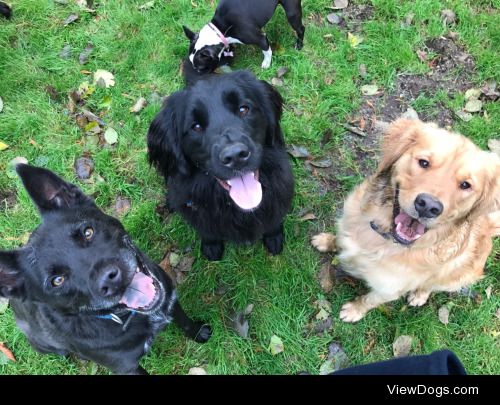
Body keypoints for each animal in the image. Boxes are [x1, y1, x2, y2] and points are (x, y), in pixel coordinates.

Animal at [0, 163, 211, 372]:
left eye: (88, 232)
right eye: (57, 281)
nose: (110, 279)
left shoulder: (169, 298)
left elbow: (185, 323)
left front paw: (198, 332)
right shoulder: (127, 368)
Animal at [148, 70, 296, 260]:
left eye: (243, 109)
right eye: (196, 126)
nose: (235, 156)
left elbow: (273, 221)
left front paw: (274, 237)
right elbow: (208, 232)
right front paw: (211, 246)